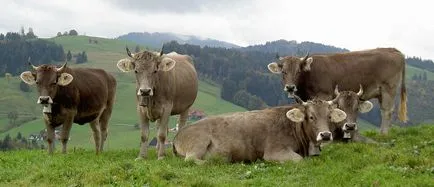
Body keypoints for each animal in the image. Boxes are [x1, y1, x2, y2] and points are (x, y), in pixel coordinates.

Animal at [171, 96, 348, 164]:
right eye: (311, 117)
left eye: (329, 116)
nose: (325, 135)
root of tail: (179, 133)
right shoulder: (274, 151)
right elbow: (299, 160)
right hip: (199, 142)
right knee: (191, 159)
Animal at [268, 47, 406, 134]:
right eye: (283, 72)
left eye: (298, 71)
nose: (290, 87)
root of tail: (392, 49)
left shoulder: (324, 95)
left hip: (388, 89)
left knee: (387, 111)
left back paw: (383, 134)